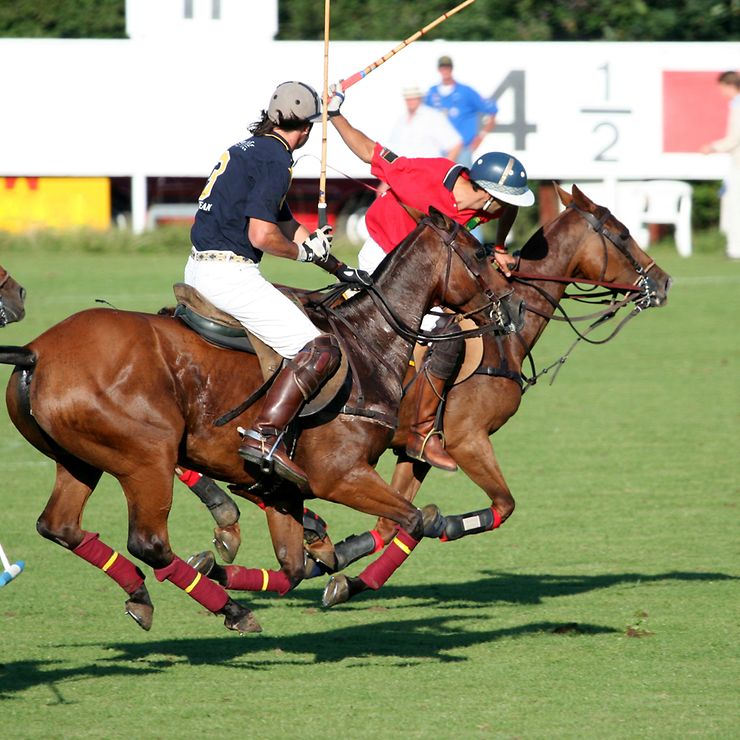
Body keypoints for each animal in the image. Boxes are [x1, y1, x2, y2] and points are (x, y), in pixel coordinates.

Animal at [0, 210, 520, 636]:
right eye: (479, 252)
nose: (512, 307)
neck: (368, 342)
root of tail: (36, 352)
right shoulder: (340, 475)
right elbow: (414, 521)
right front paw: (351, 580)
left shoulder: (283, 492)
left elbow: (292, 568)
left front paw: (222, 564)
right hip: (145, 457)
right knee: (148, 542)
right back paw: (230, 608)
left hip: (79, 459)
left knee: (59, 526)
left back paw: (146, 593)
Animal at [312, 182, 672, 604]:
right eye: (624, 234)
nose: (664, 282)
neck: (506, 338)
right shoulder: (467, 439)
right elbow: (503, 504)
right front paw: (444, 524)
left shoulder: (416, 450)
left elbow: (389, 524)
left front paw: (341, 571)